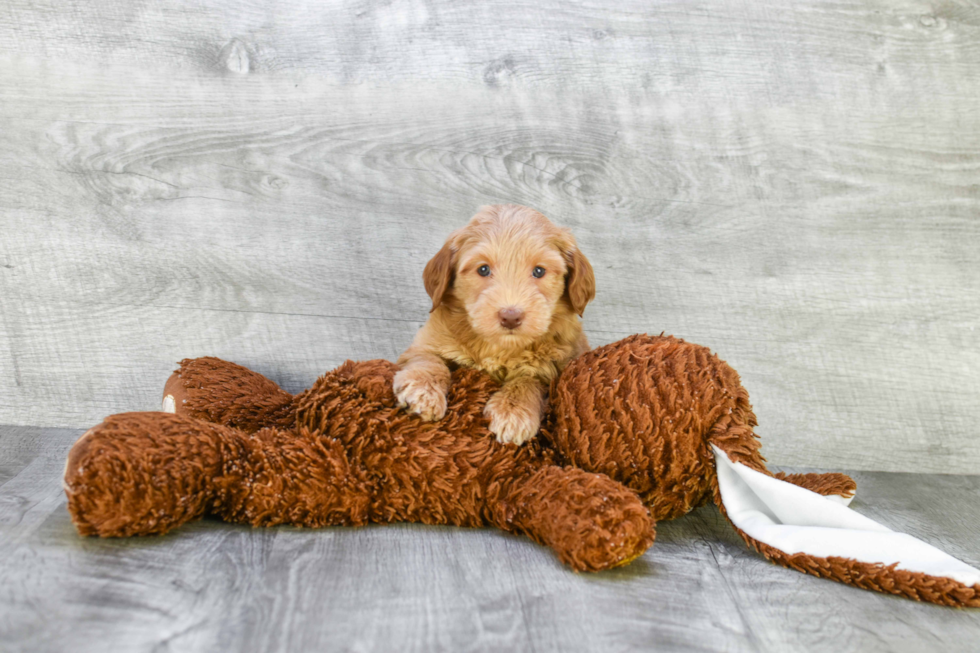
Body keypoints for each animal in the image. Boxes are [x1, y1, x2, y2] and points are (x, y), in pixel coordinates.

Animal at [392, 204, 592, 446]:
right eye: (483, 269)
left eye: (539, 271)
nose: (511, 316)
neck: (499, 347)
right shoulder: (426, 342)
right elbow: (428, 359)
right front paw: (423, 389)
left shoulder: (552, 369)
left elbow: (528, 380)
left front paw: (513, 412)